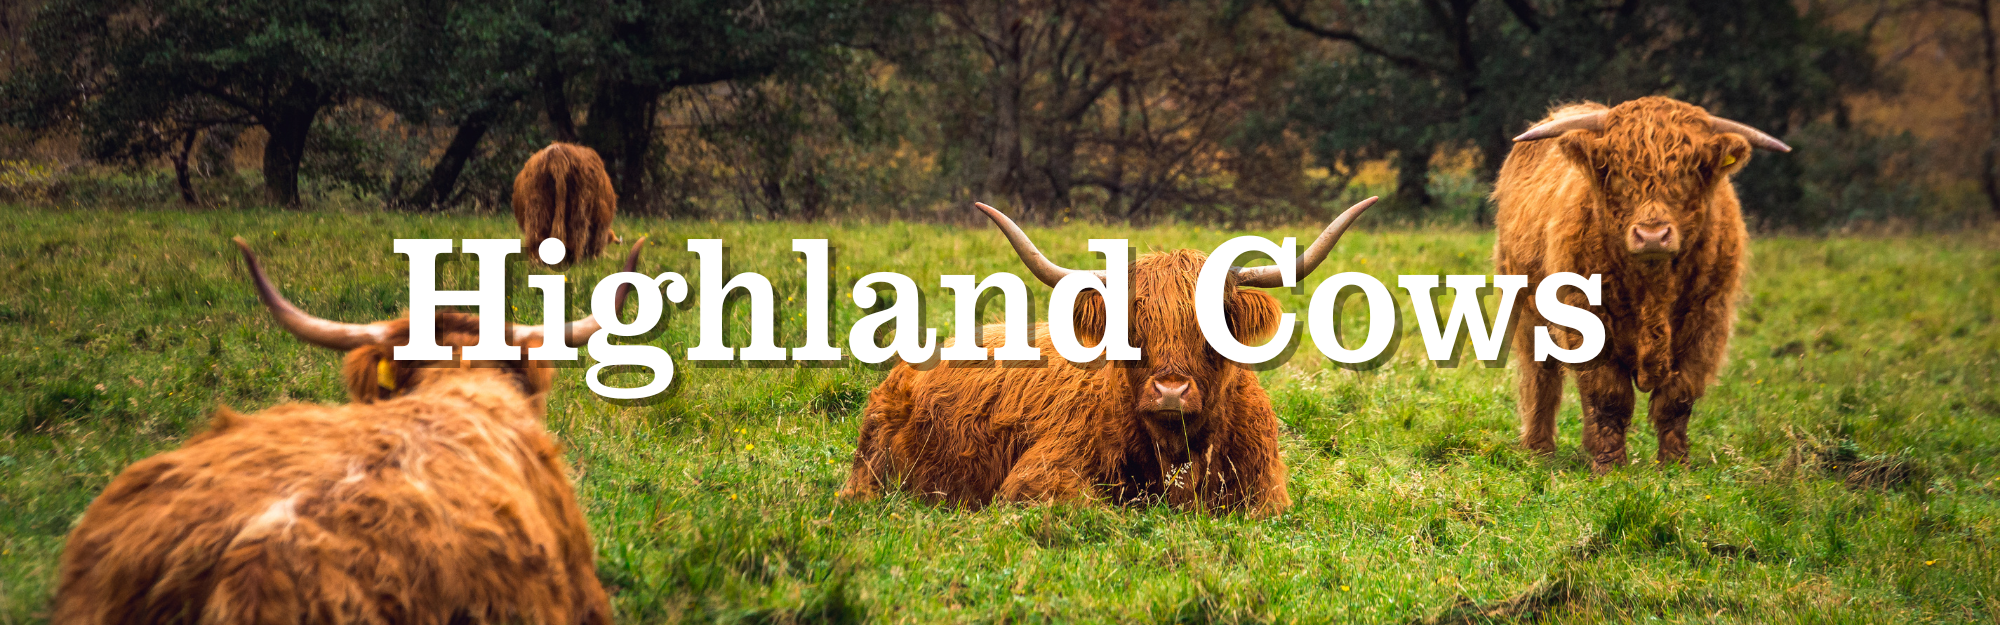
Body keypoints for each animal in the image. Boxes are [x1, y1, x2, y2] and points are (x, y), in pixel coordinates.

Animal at [1494, 96, 1789, 473]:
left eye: (1690, 171)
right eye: (1617, 172)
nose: (1652, 235)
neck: (1653, 289)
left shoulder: (1707, 323)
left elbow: (1677, 398)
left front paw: (1675, 464)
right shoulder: (1588, 317)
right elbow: (1608, 395)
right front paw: (1610, 466)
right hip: (1528, 311)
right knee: (1541, 377)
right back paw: (1538, 448)